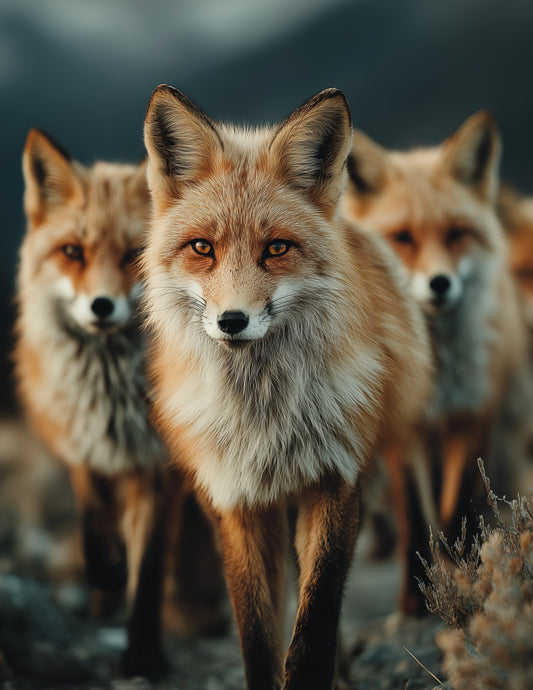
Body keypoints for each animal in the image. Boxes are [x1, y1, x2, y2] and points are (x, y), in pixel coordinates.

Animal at [15, 129, 171, 675]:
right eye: (73, 252)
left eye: (132, 254)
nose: (102, 306)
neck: (112, 398)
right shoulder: (82, 443)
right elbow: (94, 521)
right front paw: (107, 573)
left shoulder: (158, 465)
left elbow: (149, 569)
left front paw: (143, 653)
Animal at [141, 84, 433, 689]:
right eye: (202, 248)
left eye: (276, 248)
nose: (232, 320)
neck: (266, 415)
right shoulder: (237, 501)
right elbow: (258, 635)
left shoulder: (336, 480)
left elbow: (315, 623)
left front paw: (318, 671)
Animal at [342, 111, 527, 615]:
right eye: (403, 238)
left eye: (456, 234)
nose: (440, 284)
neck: (438, 372)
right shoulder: (403, 429)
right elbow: (413, 520)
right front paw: (414, 599)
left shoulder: (472, 413)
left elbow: (458, 504)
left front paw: (464, 568)